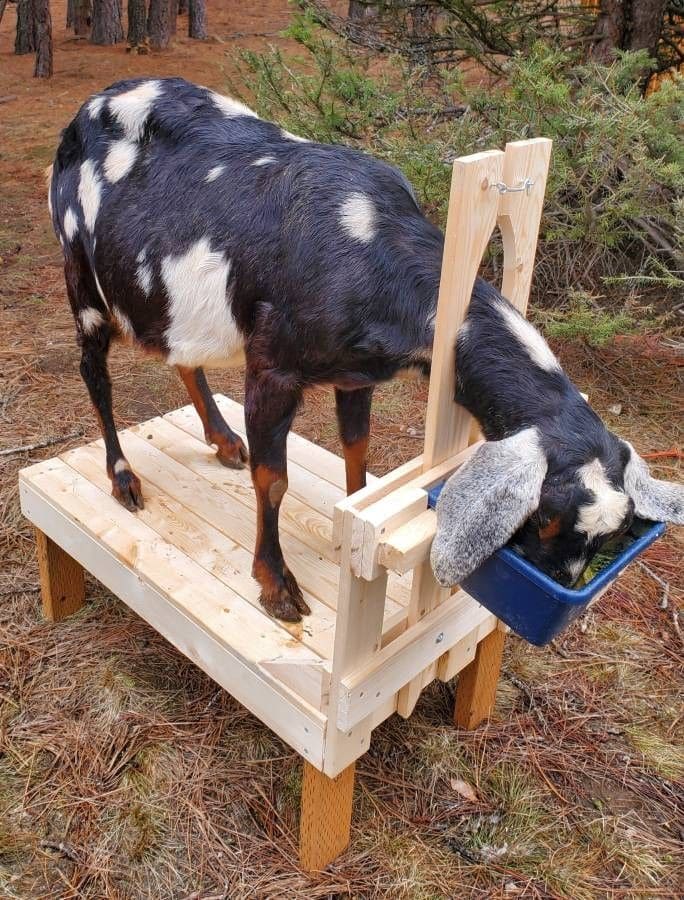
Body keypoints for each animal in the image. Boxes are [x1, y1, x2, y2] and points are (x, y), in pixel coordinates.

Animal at [48, 76, 682, 622]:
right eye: (547, 512)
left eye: (614, 534)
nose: (559, 580)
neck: (370, 246)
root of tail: (87, 106)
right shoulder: (272, 368)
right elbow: (272, 478)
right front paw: (276, 584)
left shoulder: (356, 374)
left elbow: (358, 451)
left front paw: (353, 525)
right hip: (81, 275)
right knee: (93, 373)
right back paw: (123, 478)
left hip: (168, 296)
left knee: (182, 352)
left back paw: (223, 440)